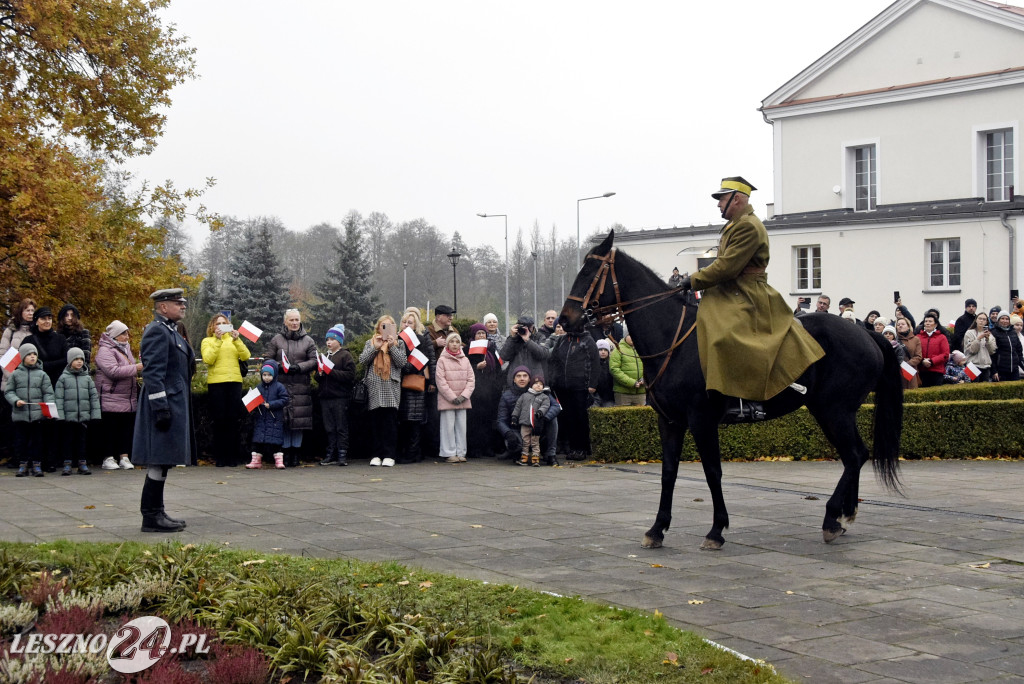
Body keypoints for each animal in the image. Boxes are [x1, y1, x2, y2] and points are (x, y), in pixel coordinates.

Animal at [561, 233, 905, 548]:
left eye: (589, 272)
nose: (566, 320)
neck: (673, 340)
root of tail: (866, 333)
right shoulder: (669, 421)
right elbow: (668, 472)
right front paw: (657, 529)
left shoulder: (701, 419)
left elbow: (712, 471)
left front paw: (716, 529)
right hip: (832, 412)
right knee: (852, 456)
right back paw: (843, 516)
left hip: (834, 411)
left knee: (856, 454)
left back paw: (832, 516)